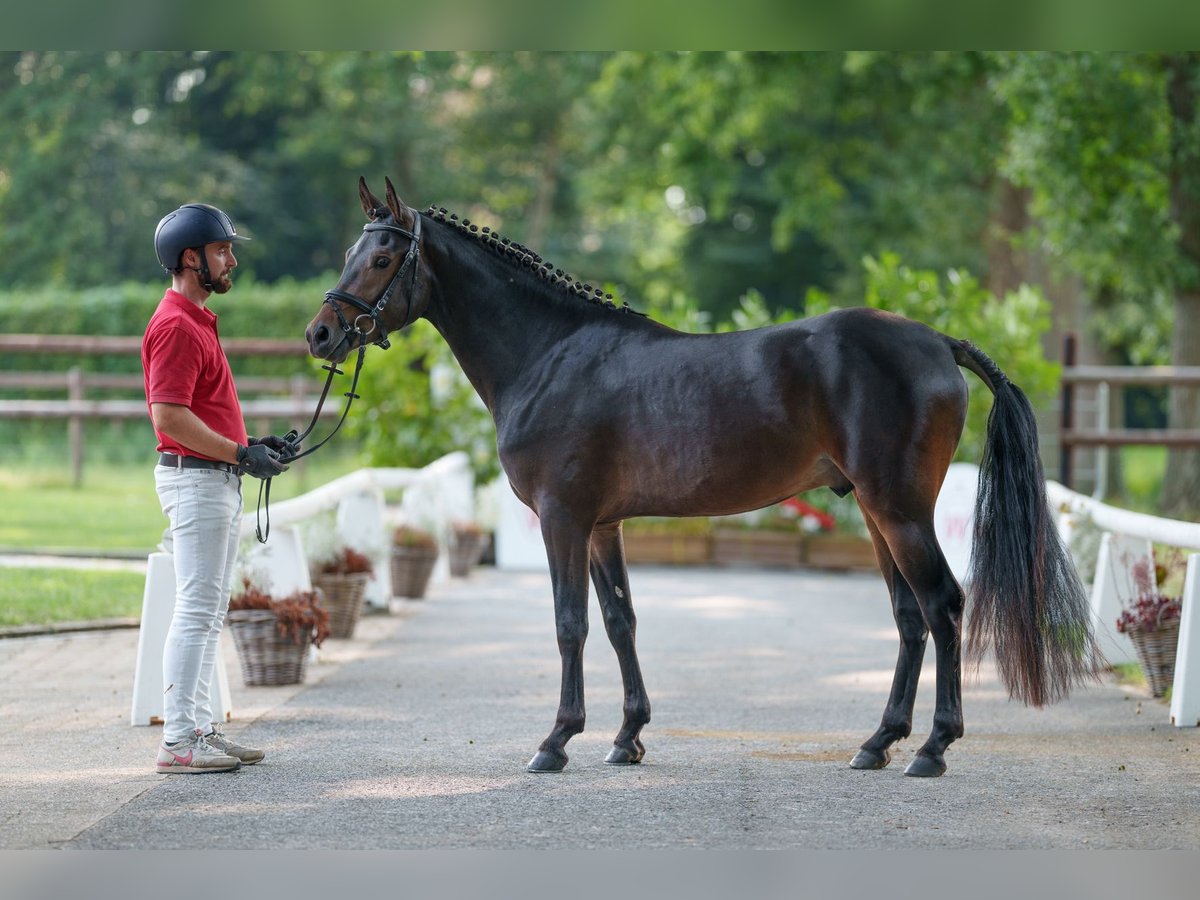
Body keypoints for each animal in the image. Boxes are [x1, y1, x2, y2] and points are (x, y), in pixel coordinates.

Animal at [304, 176, 1099, 777]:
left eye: (383, 258)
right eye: (350, 250)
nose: (320, 334)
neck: (550, 352)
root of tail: (939, 341)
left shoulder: (563, 517)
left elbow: (569, 623)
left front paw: (556, 741)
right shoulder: (603, 525)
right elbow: (620, 620)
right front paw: (627, 737)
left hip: (899, 511)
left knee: (942, 606)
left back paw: (932, 749)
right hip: (878, 515)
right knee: (909, 617)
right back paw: (877, 743)